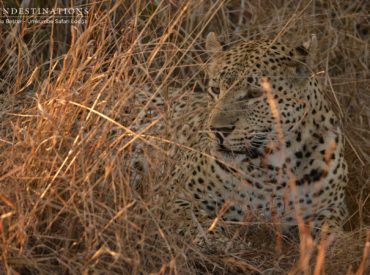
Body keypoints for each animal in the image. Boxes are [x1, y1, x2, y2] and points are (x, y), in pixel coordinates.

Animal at [129, 32, 348, 243]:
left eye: (254, 94)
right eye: (215, 89)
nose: (218, 130)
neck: (274, 169)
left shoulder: (331, 209)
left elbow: (333, 235)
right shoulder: (170, 193)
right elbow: (193, 218)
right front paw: (215, 239)